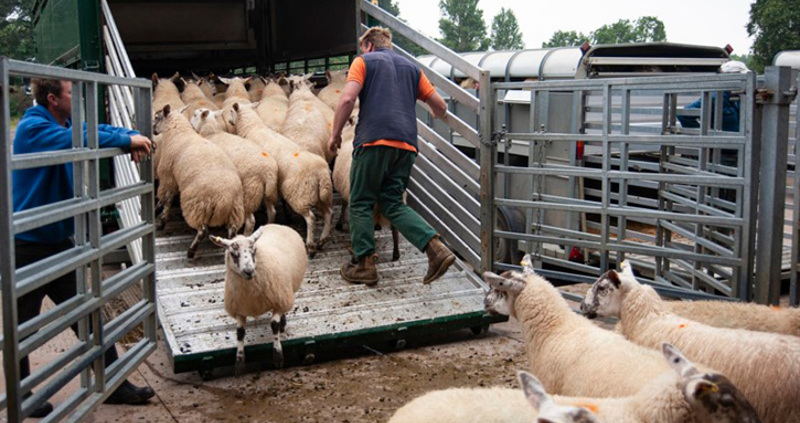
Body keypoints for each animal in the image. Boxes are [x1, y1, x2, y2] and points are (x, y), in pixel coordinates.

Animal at [152, 104, 245, 258]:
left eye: (157, 117)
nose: (153, 131)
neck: (178, 132)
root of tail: (225, 198)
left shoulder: (168, 177)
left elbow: (166, 200)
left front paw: (160, 219)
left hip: (196, 205)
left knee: (203, 231)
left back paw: (191, 251)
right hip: (235, 210)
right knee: (232, 233)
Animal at [209, 223, 307, 373]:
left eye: (254, 250)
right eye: (233, 253)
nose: (249, 271)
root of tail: (277, 225)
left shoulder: (279, 301)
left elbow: (274, 325)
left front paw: (277, 356)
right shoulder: (240, 309)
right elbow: (240, 333)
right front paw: (239, 363)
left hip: (287, 292)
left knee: (285, 309)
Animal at [230, 102, 333, 256]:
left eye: (231, 111)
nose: (229, 121)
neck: (253, 128)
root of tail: (321, 172)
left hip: (300, 194)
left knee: (311, 218)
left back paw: (310, 245)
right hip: (320, 195)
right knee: (328, 214)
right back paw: (322, 240)